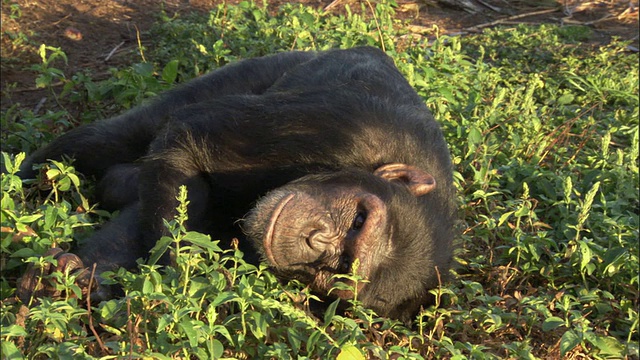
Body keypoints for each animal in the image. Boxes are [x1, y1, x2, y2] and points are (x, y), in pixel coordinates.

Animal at [15, 46, 456, 322]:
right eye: (359, 220)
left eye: (339, 272)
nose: (316, 241)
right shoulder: (345, 129)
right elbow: (189, 141)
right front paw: (173, 292)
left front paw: (91, 282)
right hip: (260, 69)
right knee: (111, 139)